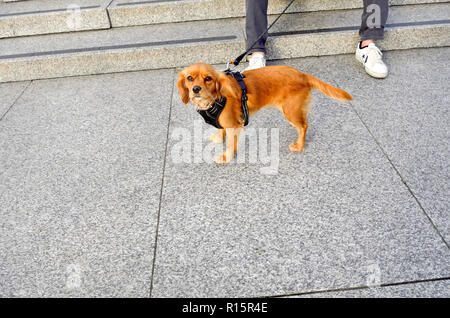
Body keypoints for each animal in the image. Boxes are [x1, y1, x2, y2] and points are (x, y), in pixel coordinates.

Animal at [178, 63, 354, 165]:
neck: (213, 99)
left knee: (303, 126)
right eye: (189, 78)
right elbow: (220, 130)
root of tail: (302, 74)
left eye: (208, 78)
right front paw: (218, 138)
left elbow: (230, 144)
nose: (196, 89)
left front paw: (226, 157)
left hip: (290, 111)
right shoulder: (224, 123)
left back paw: (299, 146)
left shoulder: (234, 125)